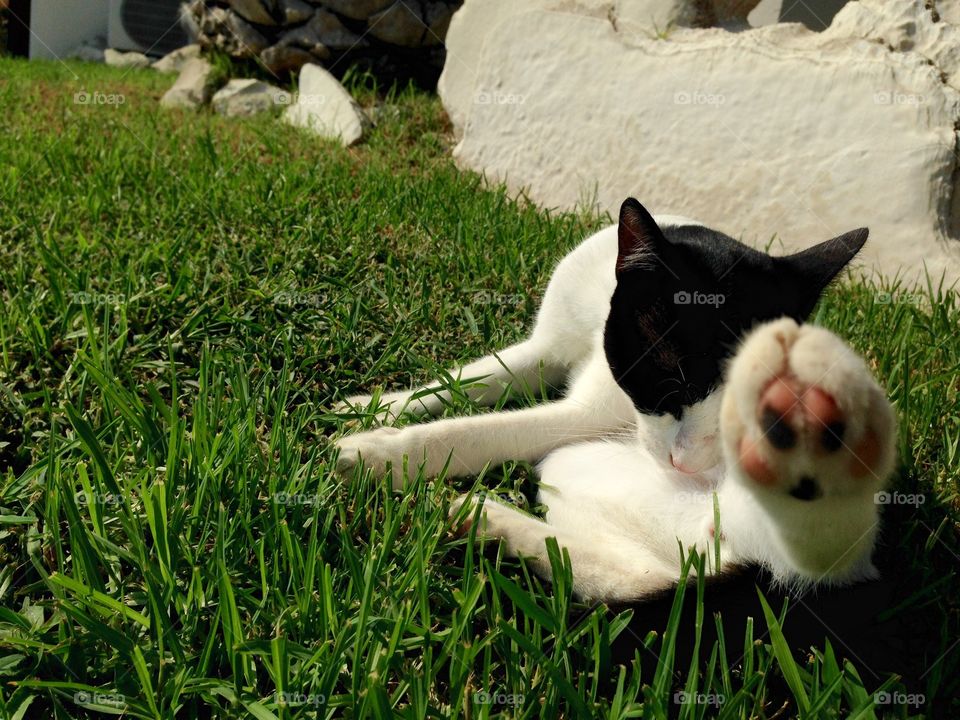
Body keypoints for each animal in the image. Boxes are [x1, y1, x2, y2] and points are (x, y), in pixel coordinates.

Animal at [334, 198, 896, 600]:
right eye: (673, 378)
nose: (691, 463)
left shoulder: (581, 415)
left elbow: (483, 431)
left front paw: (379, 453)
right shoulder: (545, 348)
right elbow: (469, 378)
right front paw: (377, 404)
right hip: (582, 477)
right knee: (645, 575)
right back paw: (483, 521)